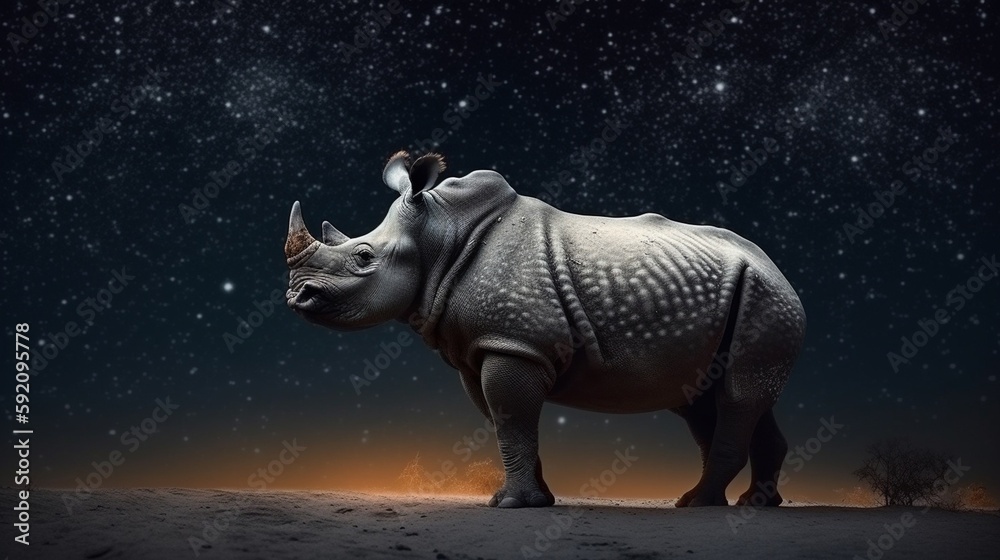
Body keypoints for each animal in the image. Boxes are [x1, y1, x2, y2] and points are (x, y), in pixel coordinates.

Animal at [284, 151, 806, 508]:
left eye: (363, 257)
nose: (296, 297)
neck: (439, 234)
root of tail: (779, 271)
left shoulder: (516, 343)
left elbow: (512, 419)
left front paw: (513, 505)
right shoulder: (483, 349)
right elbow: (504, 421)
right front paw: (536, 501)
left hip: (767, 300)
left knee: (735, 397)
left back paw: (699, 504)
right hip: (752, 299)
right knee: (708, 401)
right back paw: (752, 505)